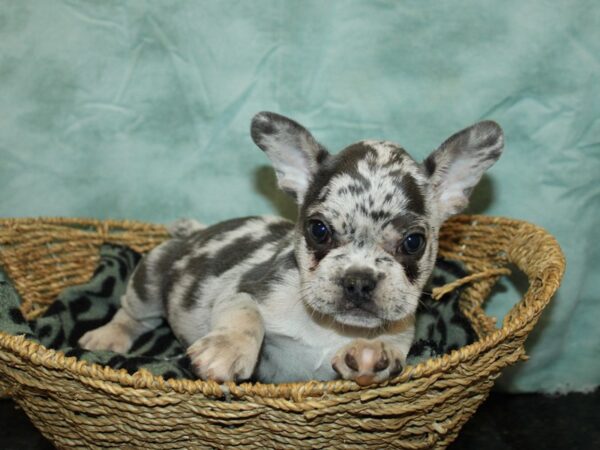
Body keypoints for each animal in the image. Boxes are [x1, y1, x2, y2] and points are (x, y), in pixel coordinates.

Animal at [78, 110, 502, 384]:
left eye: (413, 242)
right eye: (318, 230)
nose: (358, 280)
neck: (331, 327)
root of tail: (195, 233)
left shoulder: (399, 330)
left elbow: (388, 344)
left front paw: (372, 353)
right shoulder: (241, 291)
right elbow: (246, 314)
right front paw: (226, 350)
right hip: (150, 277)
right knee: (132, 313)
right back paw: (107, 337)